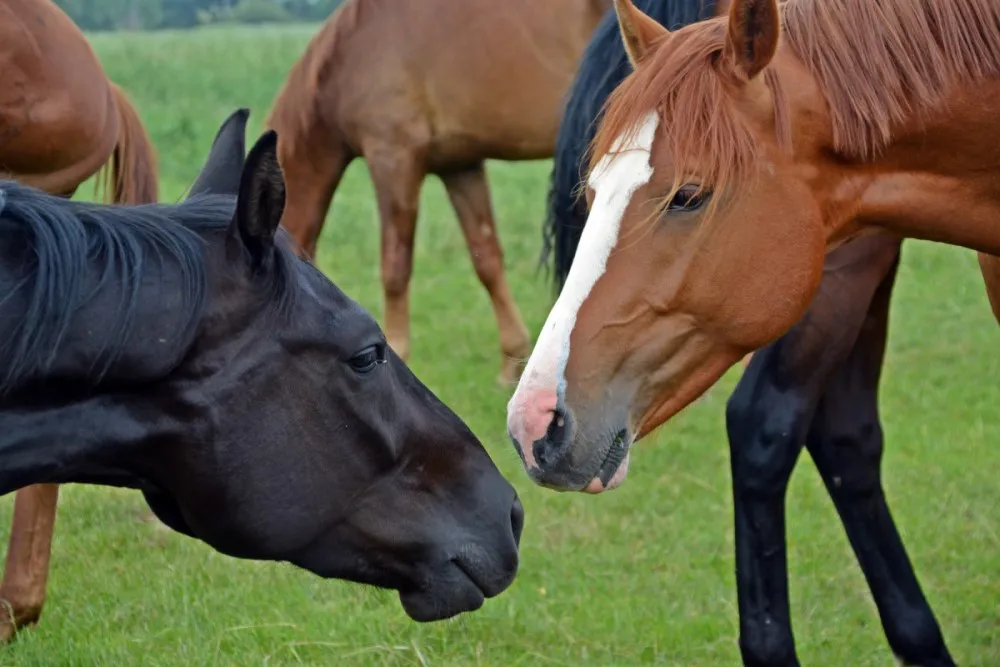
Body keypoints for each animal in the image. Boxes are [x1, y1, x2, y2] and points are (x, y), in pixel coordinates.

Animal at [265, 0, 615, 385]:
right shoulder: (460, 167)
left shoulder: (393, 159)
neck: (351, 51)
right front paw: (511, 361)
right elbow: (486, 259)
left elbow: (395, 267)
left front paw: (396, 352)